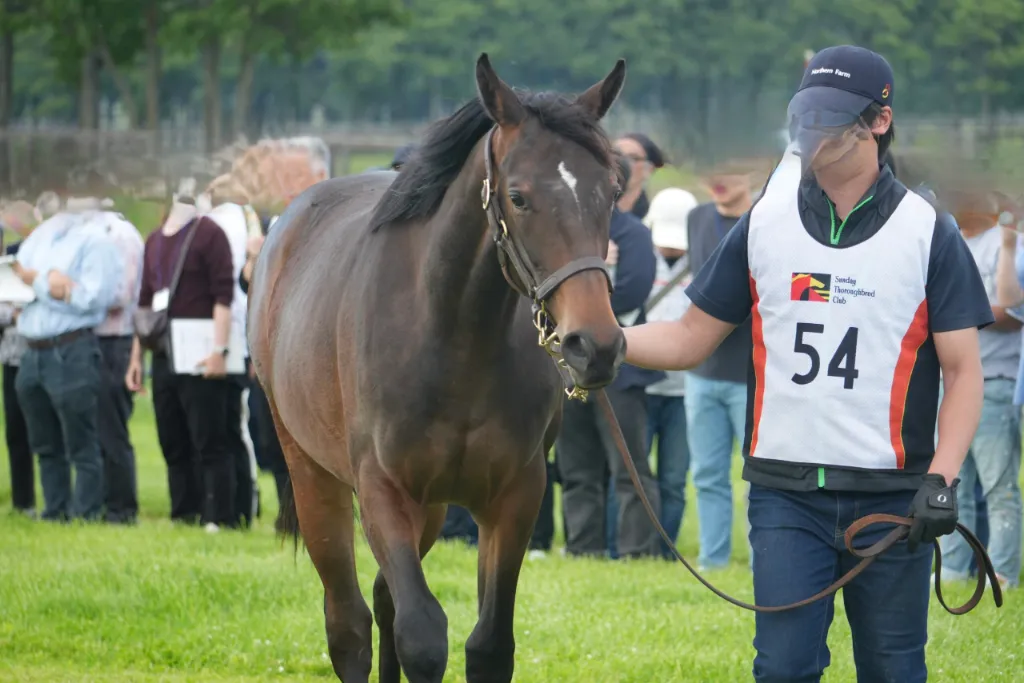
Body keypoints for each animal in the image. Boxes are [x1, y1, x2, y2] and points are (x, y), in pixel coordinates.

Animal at [246, 53, 629, 683]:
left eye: (612, 191)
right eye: (518, 197)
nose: (593, 345)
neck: (452, 337)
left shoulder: (515, 495)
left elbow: (489, 644)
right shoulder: (382, 488)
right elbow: (422, 634)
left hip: (430, 506)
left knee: (382, 598)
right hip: (314, 478)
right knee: (349, 622)